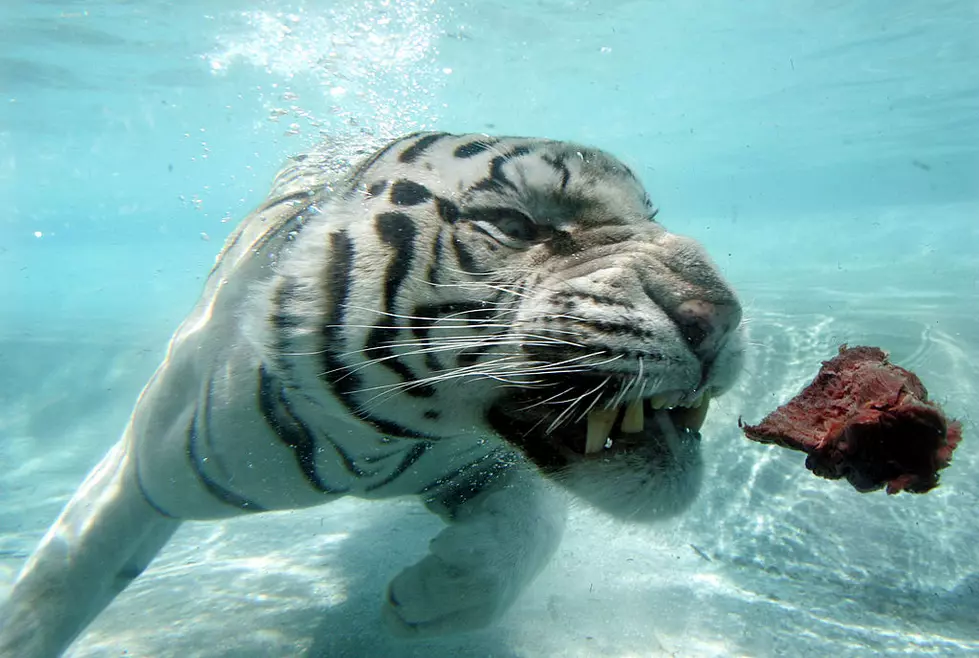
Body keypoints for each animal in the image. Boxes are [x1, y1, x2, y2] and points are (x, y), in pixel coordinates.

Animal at [0, 131, 744, 652]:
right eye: (514, 225)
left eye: (652, 216)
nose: (720, 318)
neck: (388, 440)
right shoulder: (147, 472)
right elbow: (54, 590)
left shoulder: (478, 462)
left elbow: (531, 527)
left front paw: (434, 594)